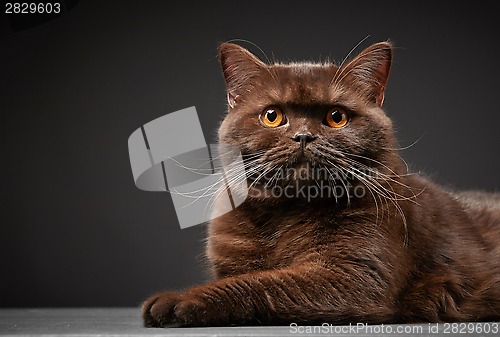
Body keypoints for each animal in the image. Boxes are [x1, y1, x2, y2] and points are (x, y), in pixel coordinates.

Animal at [141, 40, 500, 324]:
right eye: (272, 116)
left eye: (336, 117)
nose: (303, 136)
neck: (284, 215)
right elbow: (251, 276)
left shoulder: (354, 278)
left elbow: (262, 283)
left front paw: (178, 300)